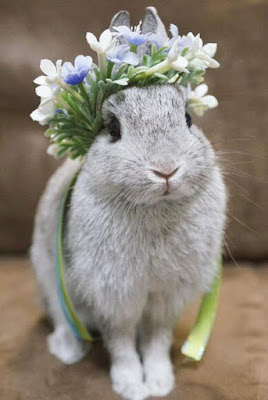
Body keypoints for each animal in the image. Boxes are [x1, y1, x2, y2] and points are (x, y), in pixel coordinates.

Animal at [31, 6, 226, 400]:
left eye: (188, 118)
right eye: (113, 129)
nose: (166, 170)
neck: (154, 209)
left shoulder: (165, 298)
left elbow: (156, 340)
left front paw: (160, 382)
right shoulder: (114, 295)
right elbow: (120, 342)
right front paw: (131, 385)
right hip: (48, 274)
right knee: (61, 317)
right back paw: (68, 350)